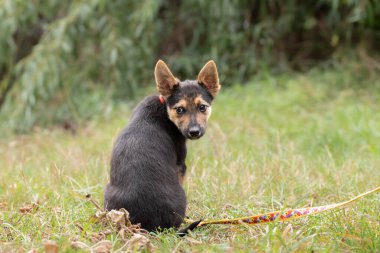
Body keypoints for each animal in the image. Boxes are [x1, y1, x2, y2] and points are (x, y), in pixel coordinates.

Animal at [102, 59, 221, 231]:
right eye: (180, 110)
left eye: (202, 107)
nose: (194, 132)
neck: (165, 108)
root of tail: (150, 226)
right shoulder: (180, 165)